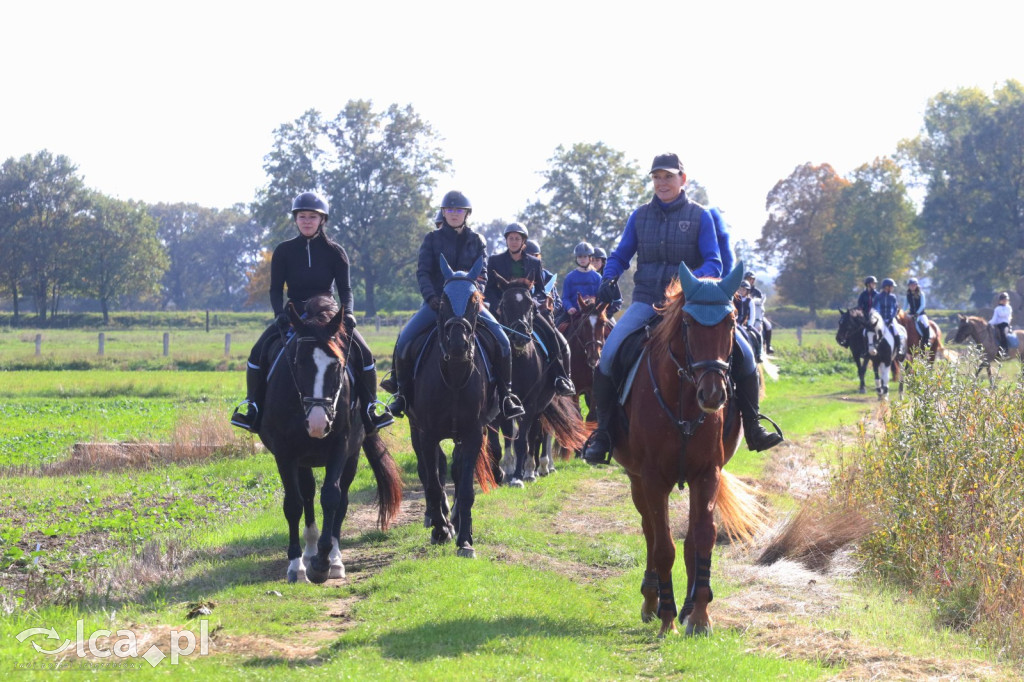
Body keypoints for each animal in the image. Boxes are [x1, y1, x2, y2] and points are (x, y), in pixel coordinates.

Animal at [260, 294, 403, 581]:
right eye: (298, 362)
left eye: (336, 365)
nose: (317, 423)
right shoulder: (285, 453)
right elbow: (293, 504)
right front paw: (297, 565)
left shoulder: (341, 446)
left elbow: (331, 498)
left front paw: (323, 563)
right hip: (303, 460)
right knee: (307, 495)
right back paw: (308, 551)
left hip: (351, 455)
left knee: (342, 498)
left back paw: (334, 558)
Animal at [405, 254, 501, 557]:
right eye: (444, 300)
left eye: (475, 300)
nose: (458, 344)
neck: (455, 376)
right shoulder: (427, 434)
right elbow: (434, 482)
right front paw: (440, 529)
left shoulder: (473, 434)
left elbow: (466, 486)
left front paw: (466, 540)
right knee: (433, 471)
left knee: (456, 471)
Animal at [606, 261, 770, 638]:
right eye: (689, 324)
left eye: (730, 322)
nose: (713, 394)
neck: (683, 399)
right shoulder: (652, 479)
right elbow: (662, 545)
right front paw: (666, 620)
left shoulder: (706, 474)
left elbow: (703, 538)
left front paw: (699, 616)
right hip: (636, 480)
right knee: (650, 532)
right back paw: (653, 601)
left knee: (691, 538)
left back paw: (687, 606)